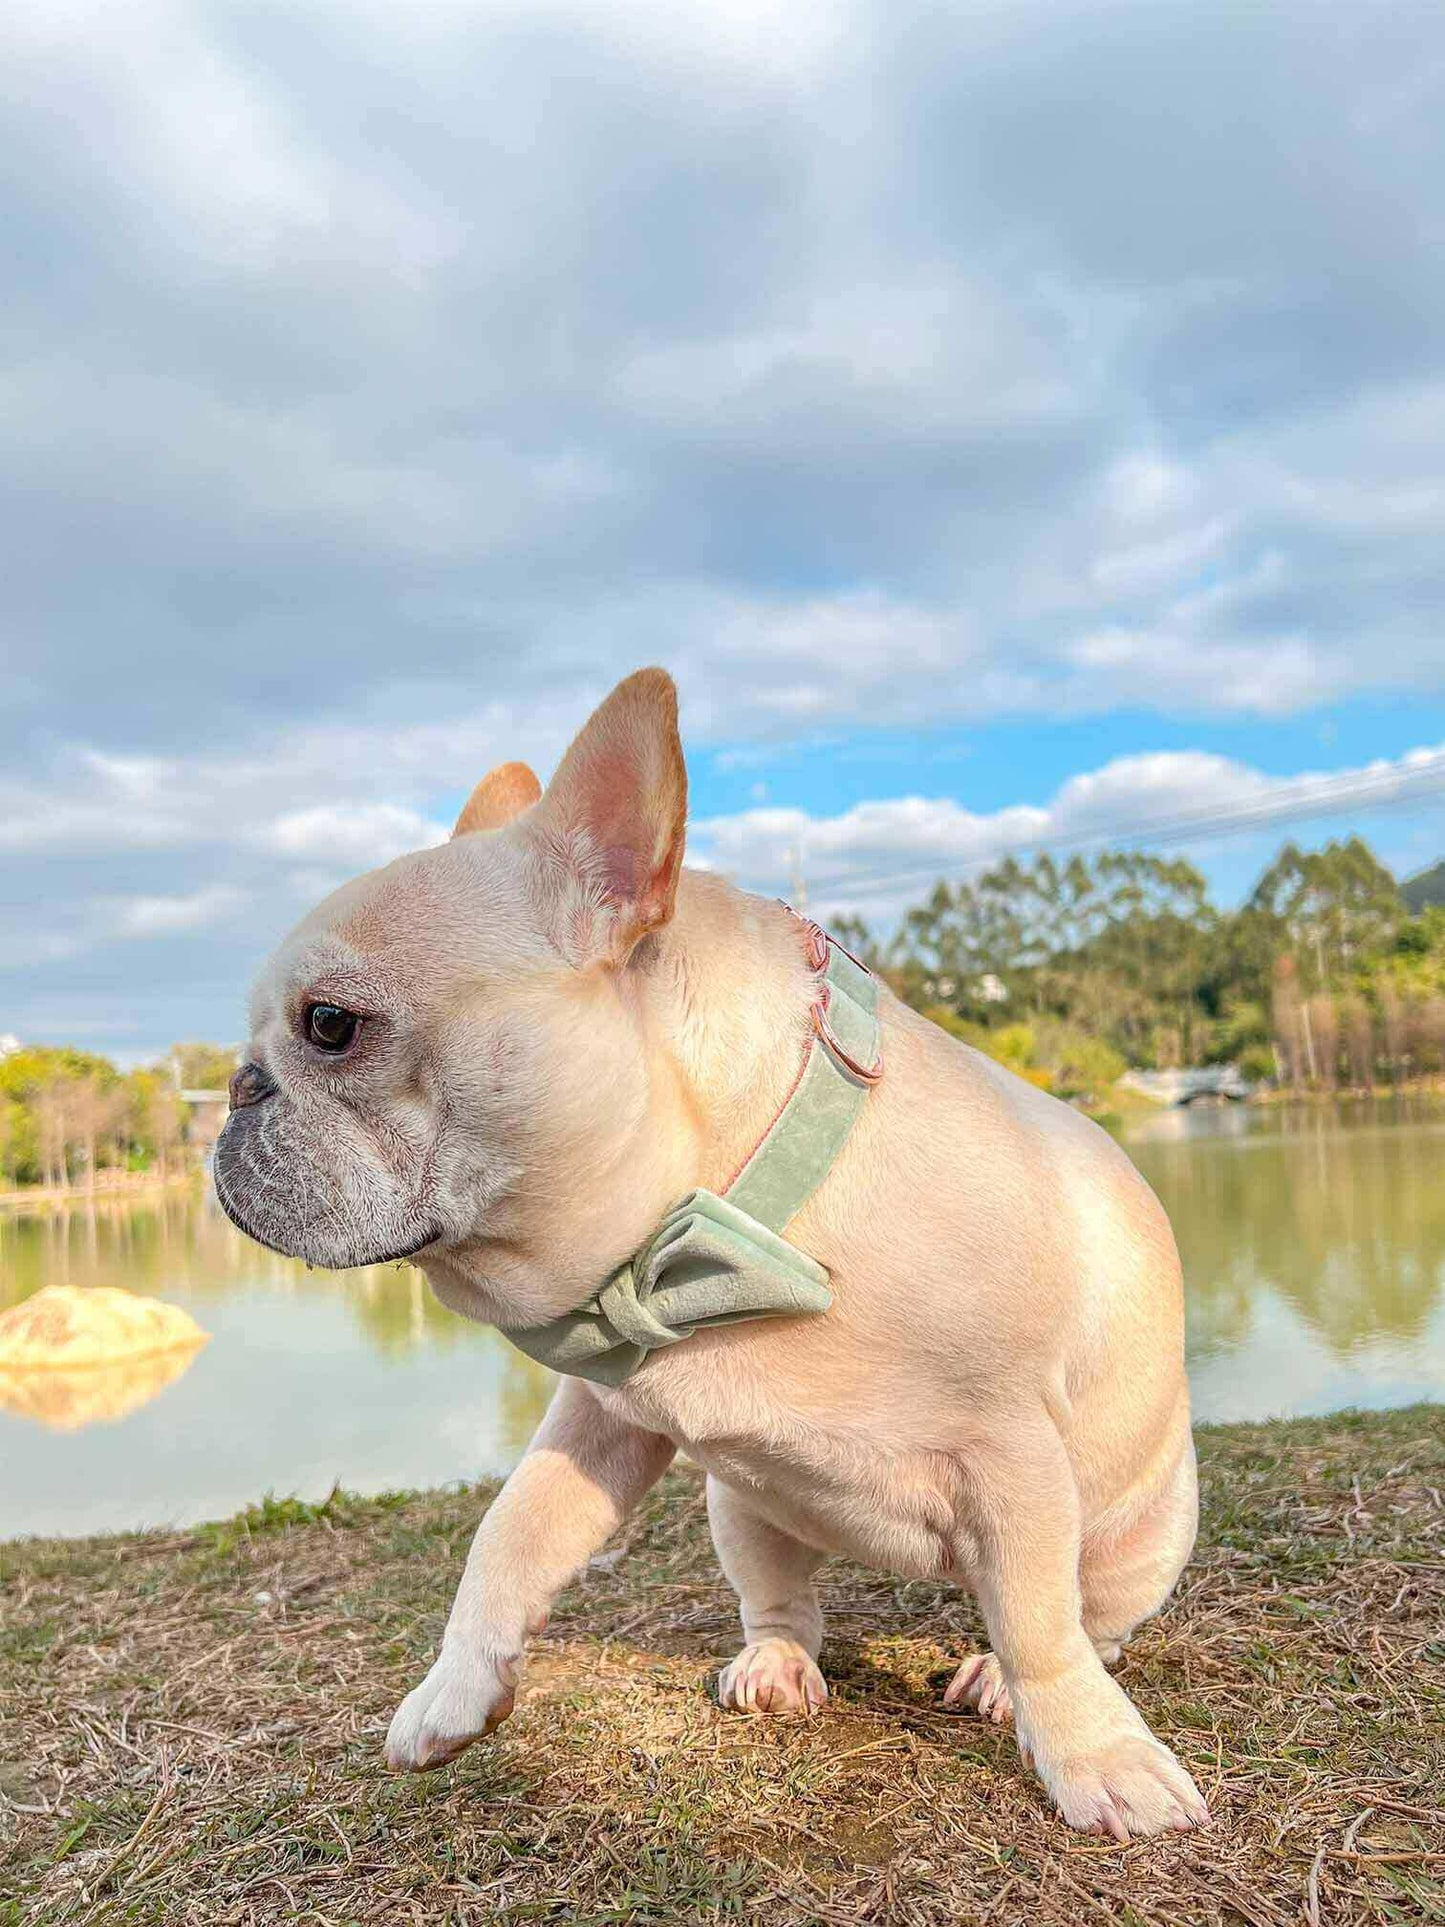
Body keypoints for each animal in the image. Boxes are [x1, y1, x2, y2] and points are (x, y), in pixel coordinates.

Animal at [214, 674, 1209, 1834]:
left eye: (329, 1024)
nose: (237, 1087)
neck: (733, 1210)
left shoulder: (1010, 1458)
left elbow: (1043, 1627)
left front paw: (1096, 1755)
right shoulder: (600, 1415)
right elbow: (510, 1531)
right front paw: (453, 1692)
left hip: (1140, 1530)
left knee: (1082, 1616)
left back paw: (995, 1675)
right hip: (739, 1502)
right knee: (781, 1598)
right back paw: (773, 1662)